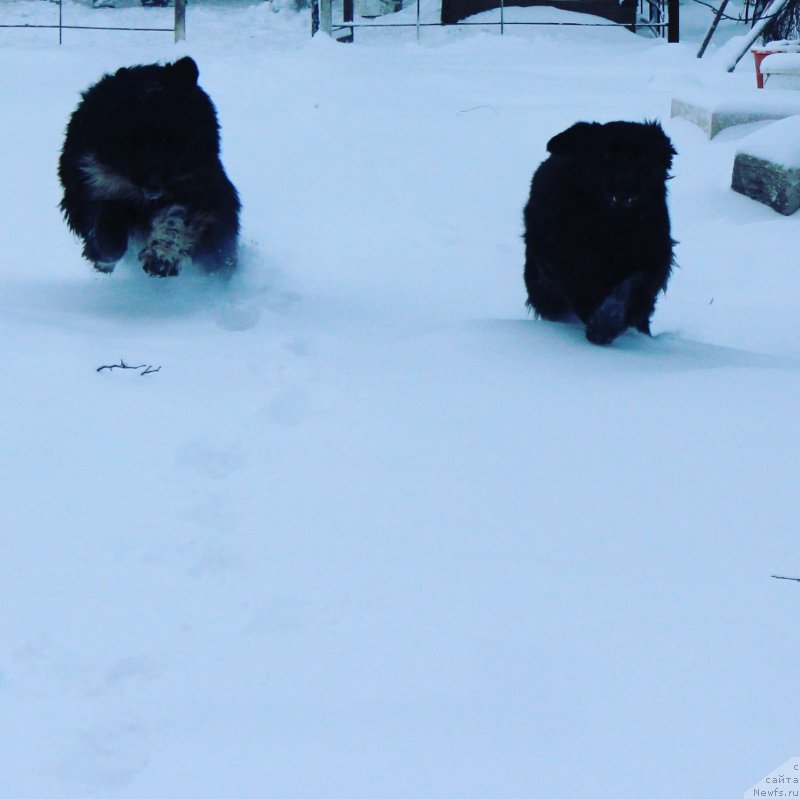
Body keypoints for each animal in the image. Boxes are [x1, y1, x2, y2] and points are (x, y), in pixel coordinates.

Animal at [57, 55, 239, 276]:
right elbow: (102, 223)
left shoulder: (196, 189)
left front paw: (161, 258)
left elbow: (176, 221)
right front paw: (103, 255)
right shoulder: (91, 183)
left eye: (175, 136)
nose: (153, 186)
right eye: (129, 137)